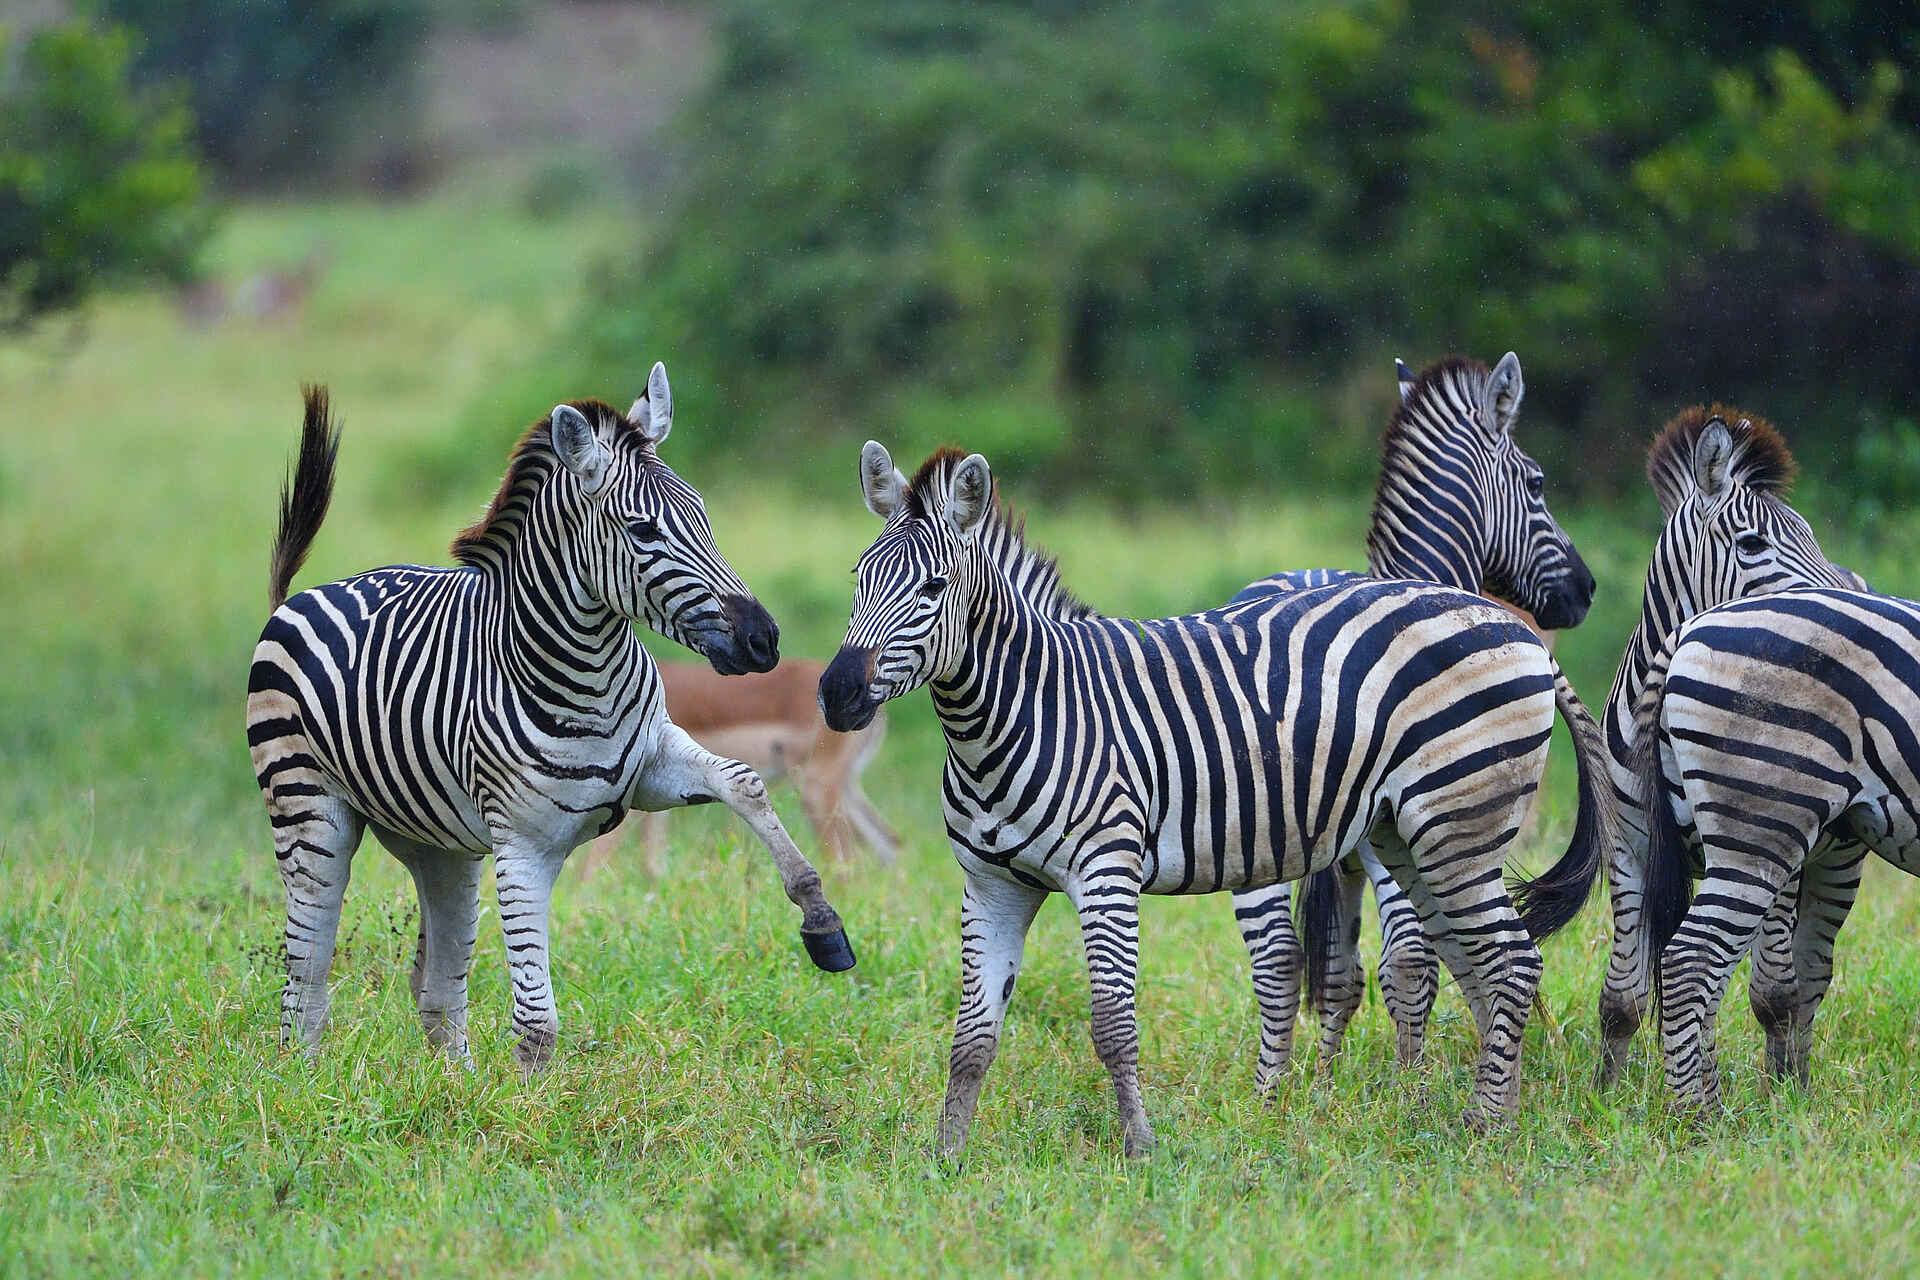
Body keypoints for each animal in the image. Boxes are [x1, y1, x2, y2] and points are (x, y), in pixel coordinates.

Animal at [247, 366, 855, 1073]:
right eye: (643, 532)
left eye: (703, 514)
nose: (764, 640)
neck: (587, 679)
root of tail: (298, 597)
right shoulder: (523, 846)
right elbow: (537, 1022)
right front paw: (532, 1101)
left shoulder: (650, 768)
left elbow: (744, 783)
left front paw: (822, 920)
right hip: (310, 815)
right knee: (305, 977)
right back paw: (305, 1079)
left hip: (440, 847)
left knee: (436, 990)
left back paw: (457, 1085)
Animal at [816, 443, 1618, 1156]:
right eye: (858, 578)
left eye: (932, 589)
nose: (837, 693)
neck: (1017, 713)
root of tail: (1514, 626)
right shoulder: (991, 883)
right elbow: (972, 1036)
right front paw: (946, 1157)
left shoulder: (1105, 872)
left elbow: (1112, 1025)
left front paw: (1141, 1148)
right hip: (1411, 837)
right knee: (1477, 963)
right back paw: (1494, 1118)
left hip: (1457, 827)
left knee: (1510, 961)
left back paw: (1483, 1126)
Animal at [1225, 351, 1596, 1083]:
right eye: (1538, 482)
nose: (1587, 590)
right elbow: (1416, 961)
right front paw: (1411, 1087)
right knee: (1321, 959)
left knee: (1325, 966)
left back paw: (1309, 1084)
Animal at [1591, 408, 1856, 1087]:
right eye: (1753, 544)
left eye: (1811, 537)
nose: (1841, 607)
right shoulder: (1629, 850)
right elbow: (1622, 997)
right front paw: (1607, 1092)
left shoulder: (1774, 851)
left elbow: (1776, 992)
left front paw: (1782, 1093)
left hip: (1831, 859)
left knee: (1810, 972)